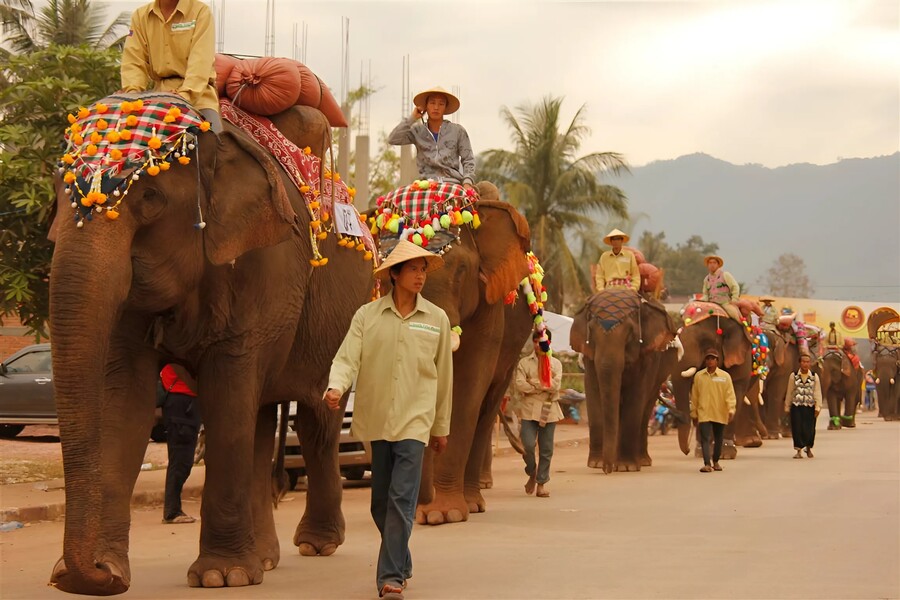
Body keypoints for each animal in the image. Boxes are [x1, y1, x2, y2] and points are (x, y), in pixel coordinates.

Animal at [44, 95, 370, 596]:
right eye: (57, 199)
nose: (89, 573)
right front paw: (107, 571)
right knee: (261, 418)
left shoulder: (265, 265)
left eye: (151, 200)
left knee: (317, 418)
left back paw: (316, 545)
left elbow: (227, 392)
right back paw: (266, 558)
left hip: (344, 318)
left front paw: (221, 577)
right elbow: (126, 398)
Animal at [568, 290, 676, 474]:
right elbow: (593, 393)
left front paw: (627, 467)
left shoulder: (646, 357)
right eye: (591, 332)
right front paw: (596, 464)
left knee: (646, 410)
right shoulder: (589, 357)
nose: (607, 470)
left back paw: (642, 461)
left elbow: (636, 396)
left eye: (631, 333)